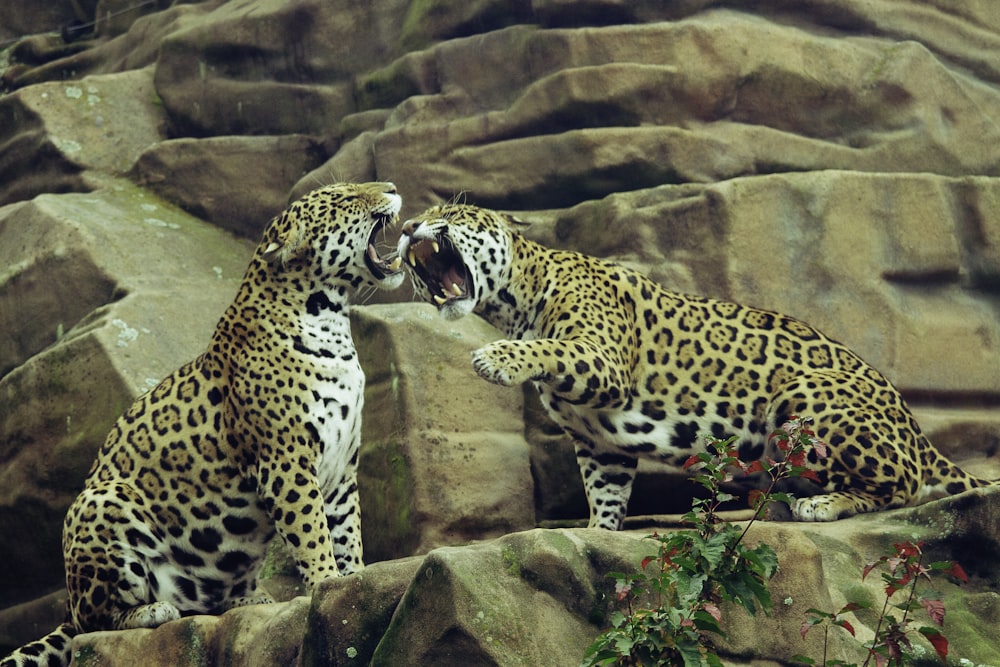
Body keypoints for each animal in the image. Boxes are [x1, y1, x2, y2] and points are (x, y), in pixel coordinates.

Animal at [1, 181, 406, 667]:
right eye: (344, 200)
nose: (392, 188)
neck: (331, 322)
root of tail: (65, 602)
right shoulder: (286, 462)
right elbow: (312, 533)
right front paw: (324, 583)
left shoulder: (343, 466)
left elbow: (346, 531)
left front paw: (354, 583)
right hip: (100, 503)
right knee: (91, 623)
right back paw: (153, 610)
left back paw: (249, 599)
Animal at [396, 202, 992, 532]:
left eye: (449, 215)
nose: (406, 227)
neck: (515, 303)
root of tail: (918, 432)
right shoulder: (599, 442)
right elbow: (606, 492)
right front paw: (596, 533)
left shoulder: (602, 356)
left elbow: (549, 349)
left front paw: (496, 359)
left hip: (804, 394)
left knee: (903, 486)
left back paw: (821, 504)